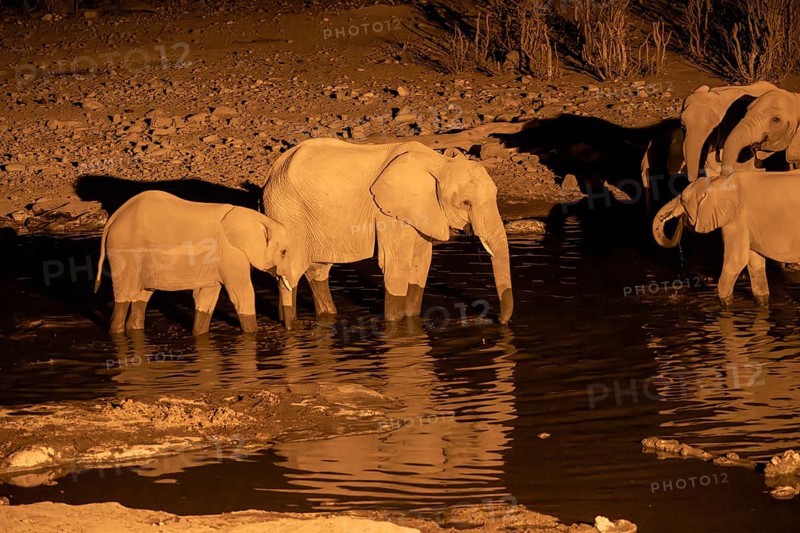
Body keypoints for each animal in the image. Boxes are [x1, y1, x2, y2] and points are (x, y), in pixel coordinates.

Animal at [94, 190, 301, 335]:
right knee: (123, 297)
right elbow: (242, 294)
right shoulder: (231, 254)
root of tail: (114, 218)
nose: (289, 329)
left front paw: (198, 334)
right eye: (283, 252)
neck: (258, 218)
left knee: (142, 297)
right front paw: (252, 334)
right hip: (124, 254)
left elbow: (207, 296)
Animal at [262, 138, 513, 326]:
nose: (500, 321)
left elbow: (421, 263)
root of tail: (271, 173)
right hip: (286, 212)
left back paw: (327, 316)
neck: (439, 162)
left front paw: (412, 318)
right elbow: (396, 265)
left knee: (318, 270)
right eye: (466, 203)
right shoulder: (387, 213)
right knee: (293, 269)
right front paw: (394, 325)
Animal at [652, 172, 800, 305]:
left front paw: (726, 304)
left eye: (683, 200)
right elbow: (755, 262)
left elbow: (737, 261)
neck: (718, 181)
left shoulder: (736, 218)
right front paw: (762, 303)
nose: (680, 220)